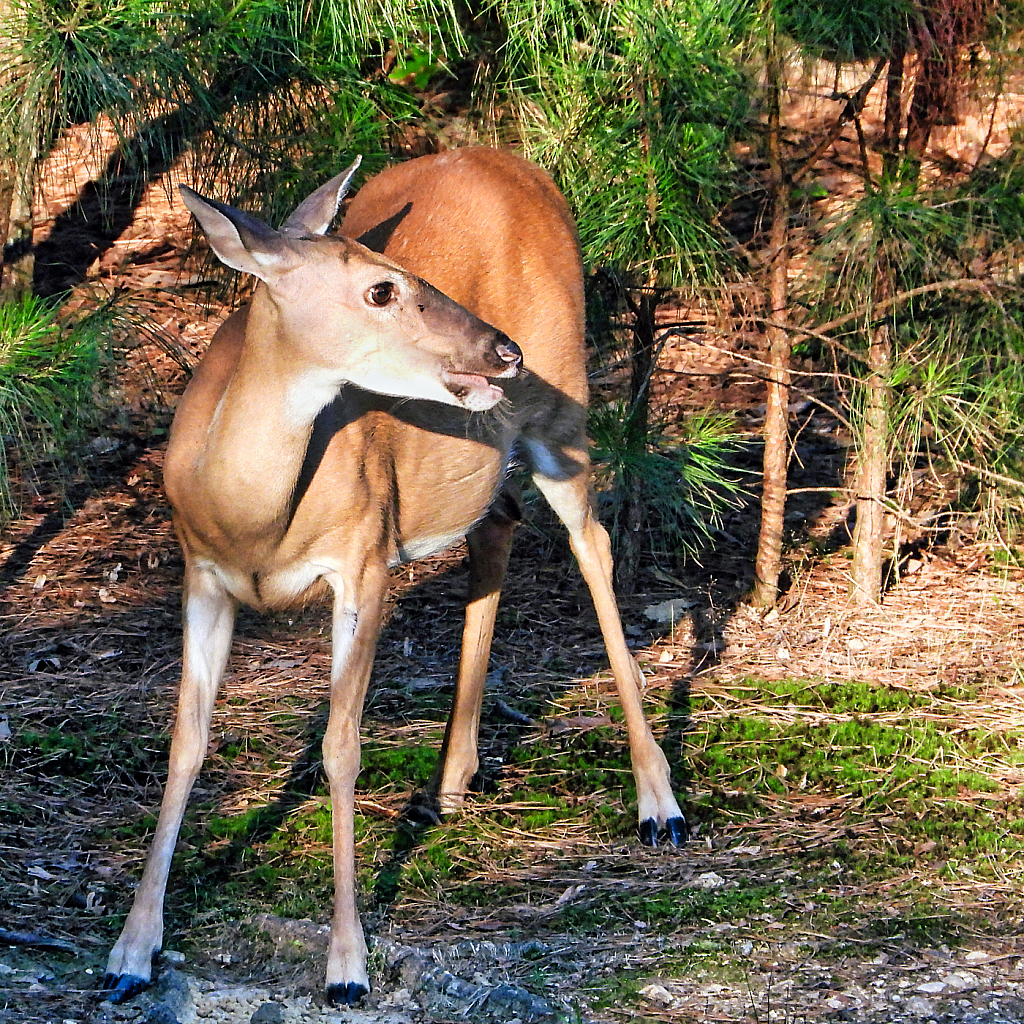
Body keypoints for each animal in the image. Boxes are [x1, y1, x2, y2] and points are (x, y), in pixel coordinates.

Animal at [103, 148, 684, 1003]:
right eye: (382, 289)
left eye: (408, 273)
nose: (501, 350)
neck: (251, 520)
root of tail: (522, 167)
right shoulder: (201, 575)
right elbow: (185, 741)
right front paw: (131, 953)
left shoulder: (365, 557)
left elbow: (342, 746)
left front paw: (347, 964)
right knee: (499, 524)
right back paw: (446, 786)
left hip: (563, 406)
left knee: (594, 545)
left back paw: (659, 803)